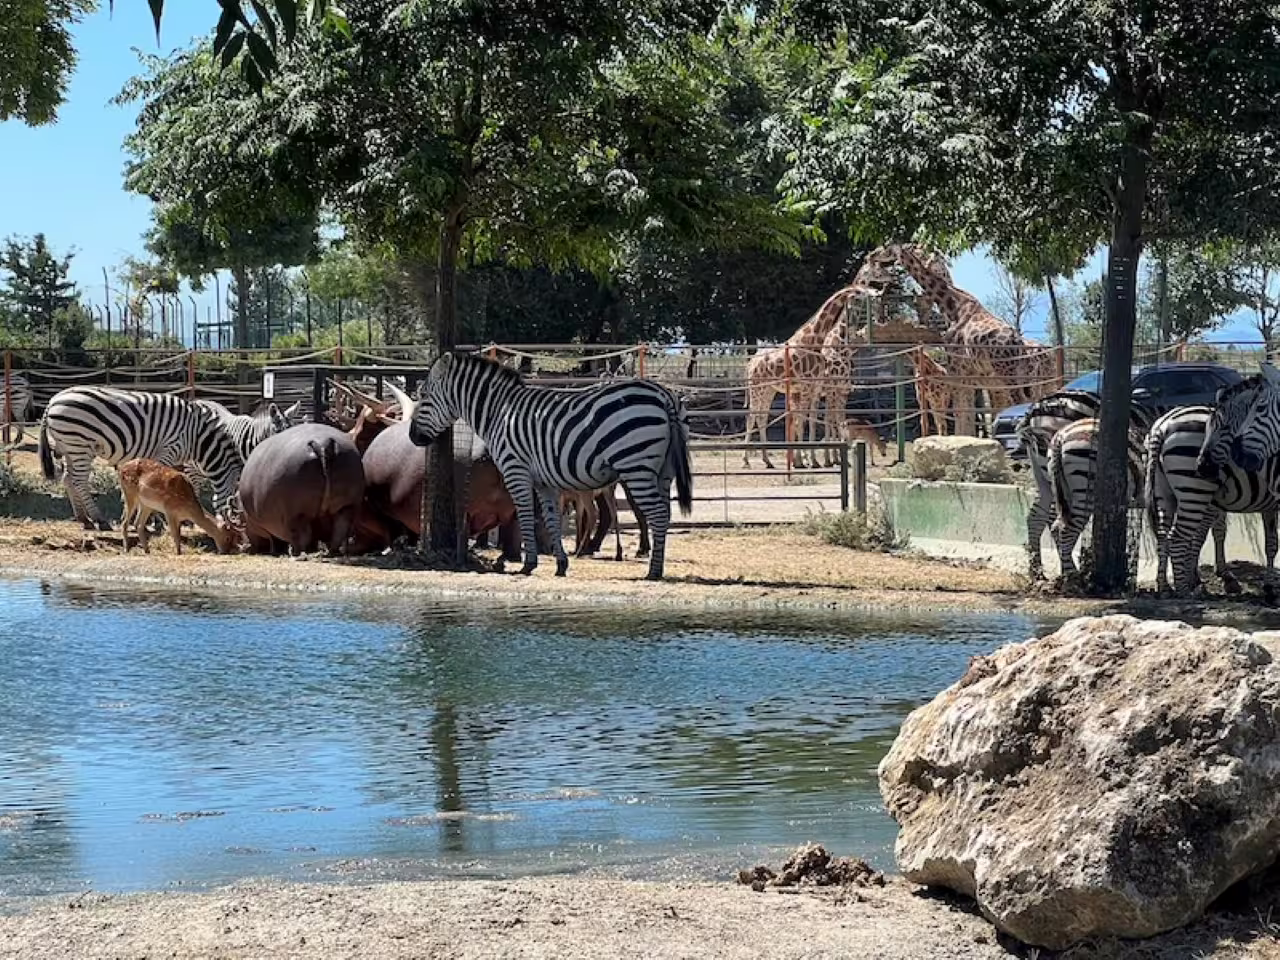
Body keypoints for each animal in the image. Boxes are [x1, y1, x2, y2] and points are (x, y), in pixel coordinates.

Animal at [38, 387, 245, 531]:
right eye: (236, 506)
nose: (240, 530)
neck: (196, 437)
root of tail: (53, 401)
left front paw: (138, 519)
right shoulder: (168, 450)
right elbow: (157, 487)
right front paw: (156, 520)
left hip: (69, 447)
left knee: (68, 479)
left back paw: (83, 519)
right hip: (79, 444)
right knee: (79, 481)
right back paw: (99, 519)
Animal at [408, 352, 693, 580]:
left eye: (424, 396)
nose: (413, 437)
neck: (498, 411)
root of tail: (664, 394)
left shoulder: (515, 470)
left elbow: (524, 513)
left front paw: (528, 564)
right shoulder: (544, 481)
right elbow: (551, 518)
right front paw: (561, 564)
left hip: (636, 465)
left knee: (657, 513)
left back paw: (653, 571)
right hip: (663, 472)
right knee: (664, 514)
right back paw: (657, 564)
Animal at [1144, 404, 1279, 594]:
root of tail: (1163, 424)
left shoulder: (1269, 506)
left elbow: (1271, 544)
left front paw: (1268, 585)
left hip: (1163, 493)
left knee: (1163, 535)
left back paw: (1163, 586)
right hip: (1194, 489)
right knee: (1178, 537)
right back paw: (1184, 591)